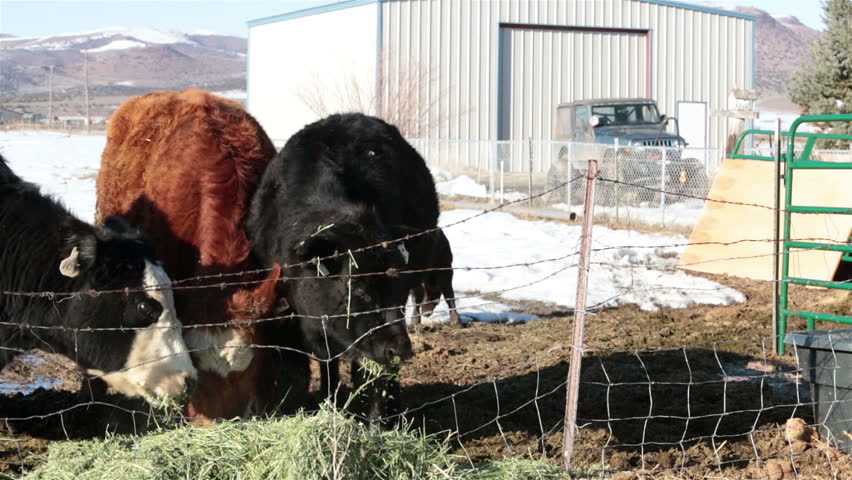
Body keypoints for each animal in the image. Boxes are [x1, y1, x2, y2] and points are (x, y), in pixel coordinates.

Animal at [246, 112, 440, 421]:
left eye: (398, 290)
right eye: (358, 289)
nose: (399, 350)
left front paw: (375, 420)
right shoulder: (311, 326)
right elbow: (328, 367)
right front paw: (331, 404)